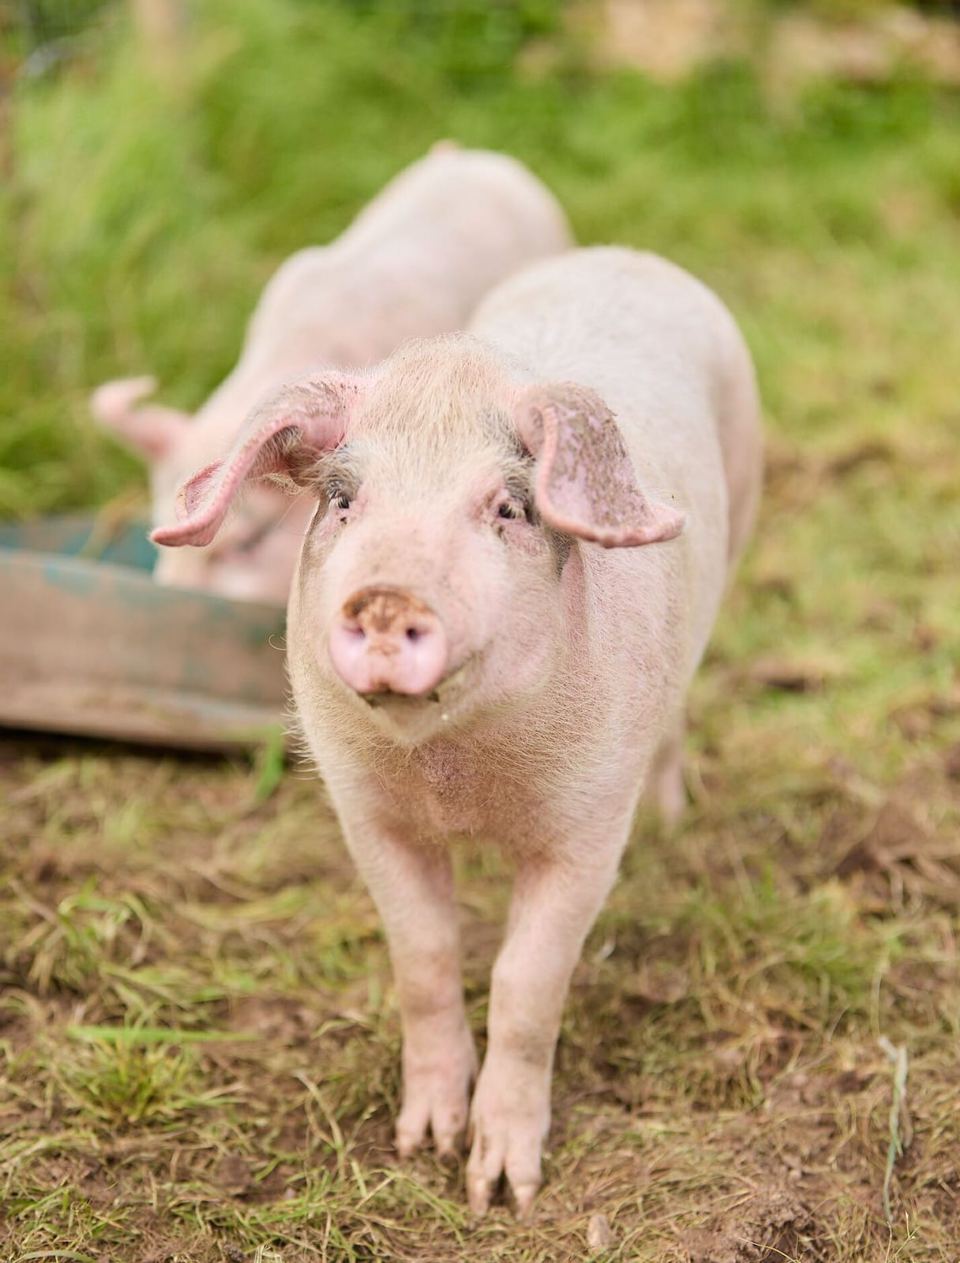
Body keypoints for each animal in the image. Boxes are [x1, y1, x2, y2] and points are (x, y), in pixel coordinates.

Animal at [152, 246, 763, 1214]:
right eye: (344, 500)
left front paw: (501, 1190)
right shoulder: (367, 814)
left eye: (507, 509)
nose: (385, 595)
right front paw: (422, 1146)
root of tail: (626, 257)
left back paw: (673, 822)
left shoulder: (589, 830)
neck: (456, 776)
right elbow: (426, 955)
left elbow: (525, 983)